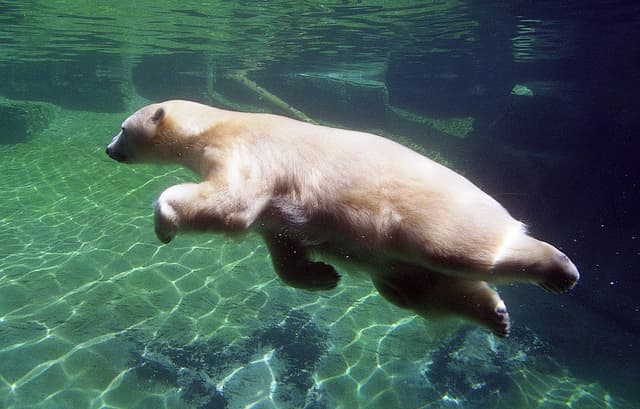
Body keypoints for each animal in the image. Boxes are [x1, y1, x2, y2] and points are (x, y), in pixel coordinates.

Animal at [106, 100, 580, 336]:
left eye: (123, 128)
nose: (109, 150)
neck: (218, 124)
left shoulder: (249, 152)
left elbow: (231, 202)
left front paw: (165, 222)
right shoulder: (278, 210)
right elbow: (282, 239)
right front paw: (320, 275)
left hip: (427, 214)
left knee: (462, 250)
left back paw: (559, 269)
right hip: (396, 263)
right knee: (416, 290)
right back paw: (495, 316)